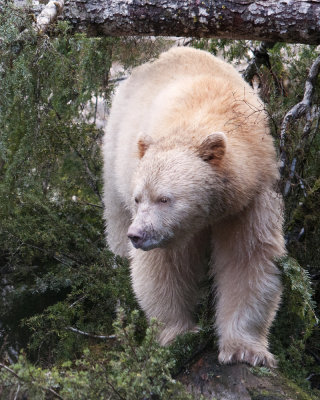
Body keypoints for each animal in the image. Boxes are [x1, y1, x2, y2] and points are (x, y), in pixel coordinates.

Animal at [103, 45, 284, 368]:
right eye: (140, 198)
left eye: (164, 198)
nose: (137, 235)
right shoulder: (171, 230)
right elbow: (164, 268)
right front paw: (179, 335)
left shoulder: (251, 198)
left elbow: (249, 259)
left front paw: (246, 351)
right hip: (115, 149)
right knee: (113, 210)